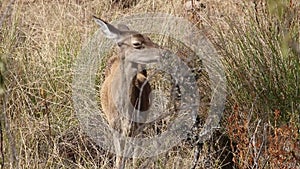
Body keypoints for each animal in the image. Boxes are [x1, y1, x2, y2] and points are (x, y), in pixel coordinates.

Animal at [94, 16, 163, 169]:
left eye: (149, 37)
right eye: (136, 43)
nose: (163, 52)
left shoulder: (135, 125)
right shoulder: (115, 126)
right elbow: (120, 157)